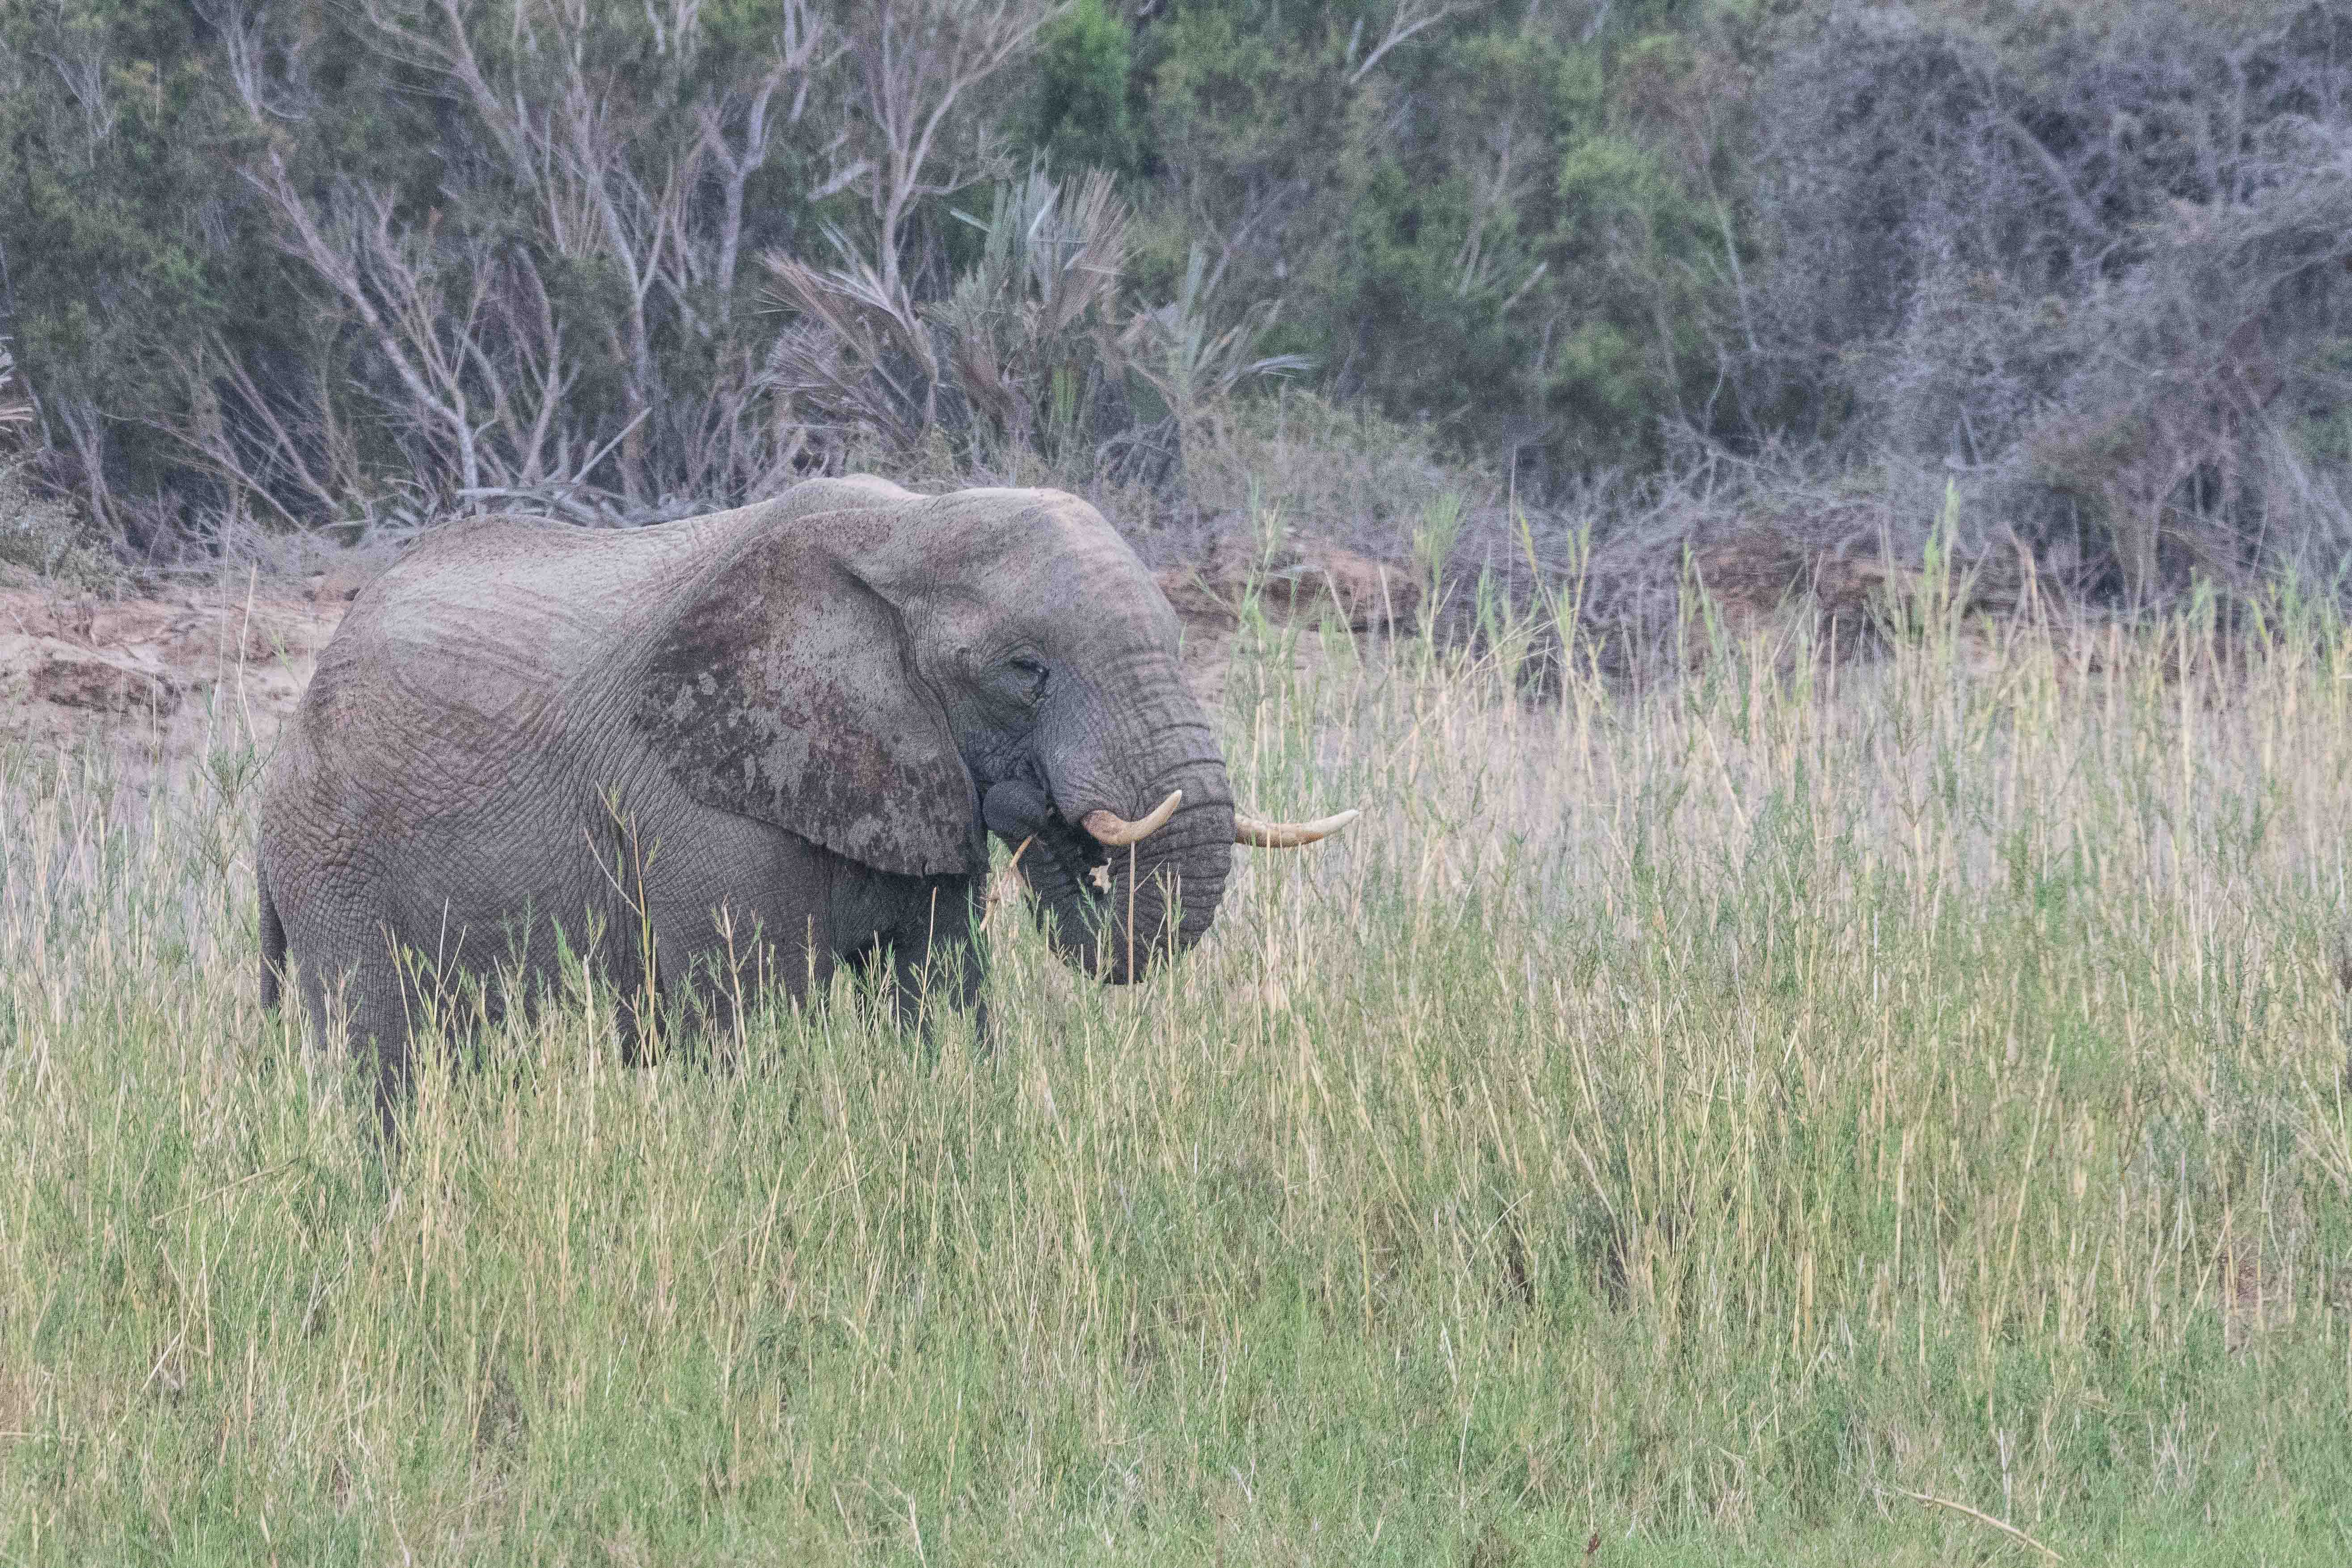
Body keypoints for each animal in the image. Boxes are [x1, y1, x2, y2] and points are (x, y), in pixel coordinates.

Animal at [258, 472, 1355, 1124]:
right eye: (1024, 669)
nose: (1029, 804)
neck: (904, 526)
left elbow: (936, 993)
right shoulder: (706, 804)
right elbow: (746, 1014)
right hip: (329, 853)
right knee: (378, 1053)